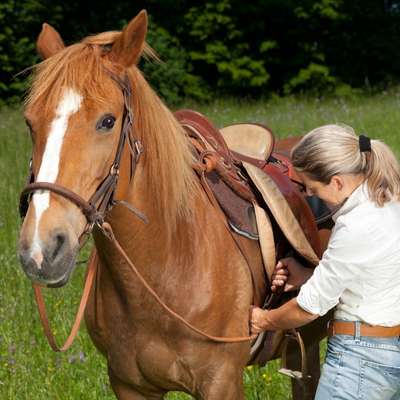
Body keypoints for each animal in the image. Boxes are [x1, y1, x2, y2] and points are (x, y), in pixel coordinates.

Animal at [18, 10, 328, 400]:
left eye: (107, 121)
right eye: (30, 122)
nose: (41, 249)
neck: (169, 259)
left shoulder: (221, 382)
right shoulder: (129, 384)